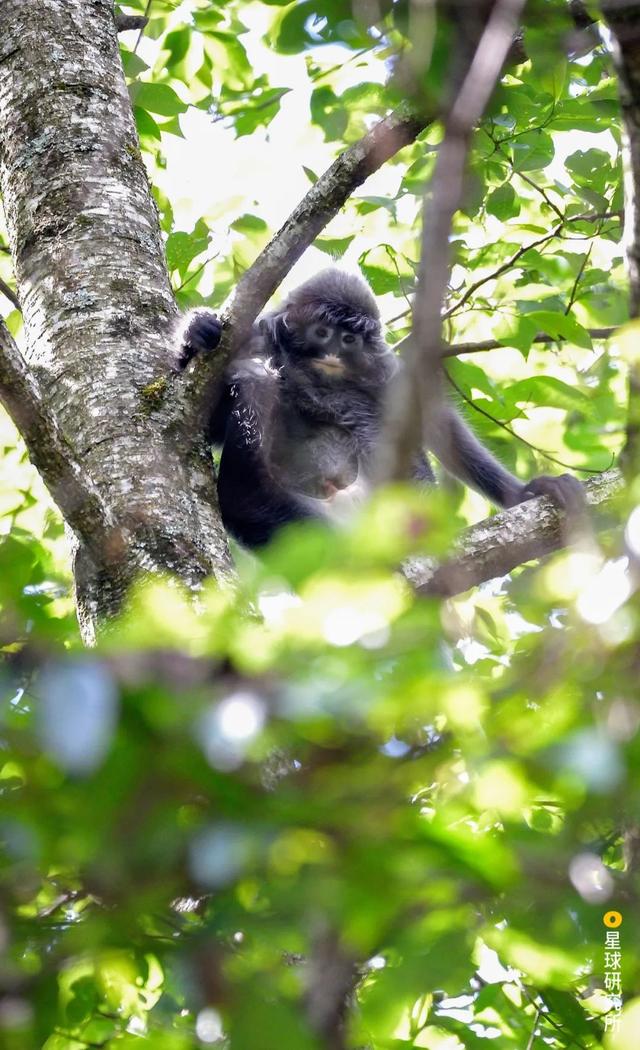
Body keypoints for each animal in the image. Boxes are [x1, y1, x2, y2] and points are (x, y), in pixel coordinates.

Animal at [175, 266, 583, 550]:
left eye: (349, 339)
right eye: (322, 333)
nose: (333, 353)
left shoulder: (384, 369)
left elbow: (437, 426)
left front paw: (525, 493)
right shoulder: (254, 340)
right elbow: (204, 416)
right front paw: (197, 330)